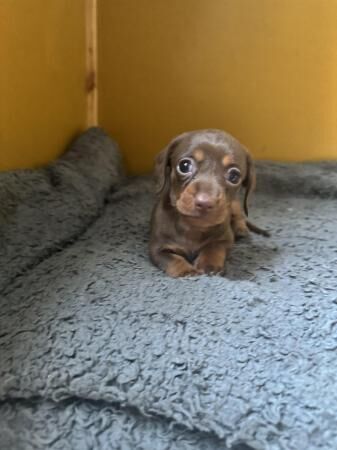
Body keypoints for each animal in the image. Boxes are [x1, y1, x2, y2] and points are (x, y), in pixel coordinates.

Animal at [148, 129, 266, 278]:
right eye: (184, 166)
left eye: (234, 176)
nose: (204, 202)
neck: (193, 227)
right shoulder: (158, 247)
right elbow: (172, 259)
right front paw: (185, 271)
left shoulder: (225, 239)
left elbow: (214, 247)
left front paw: (209, 264)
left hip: (235, 205)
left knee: (240, 217)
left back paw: (241, 229)